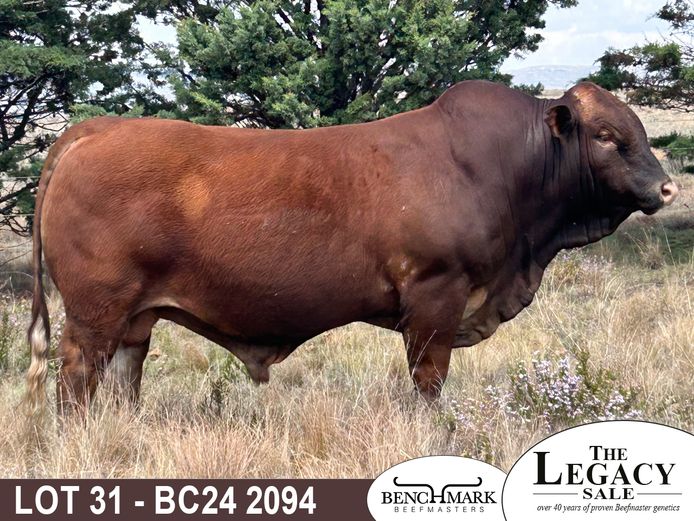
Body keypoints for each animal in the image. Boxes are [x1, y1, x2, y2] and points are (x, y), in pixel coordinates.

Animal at [26, 81, 678, 415]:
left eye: (639, 129)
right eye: (607, 136)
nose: (666, 186)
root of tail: (97, 128)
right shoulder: (436, 296)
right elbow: (429, 381)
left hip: (136, 316)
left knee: (122, 377)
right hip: (95, 310)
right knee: (77, 377)